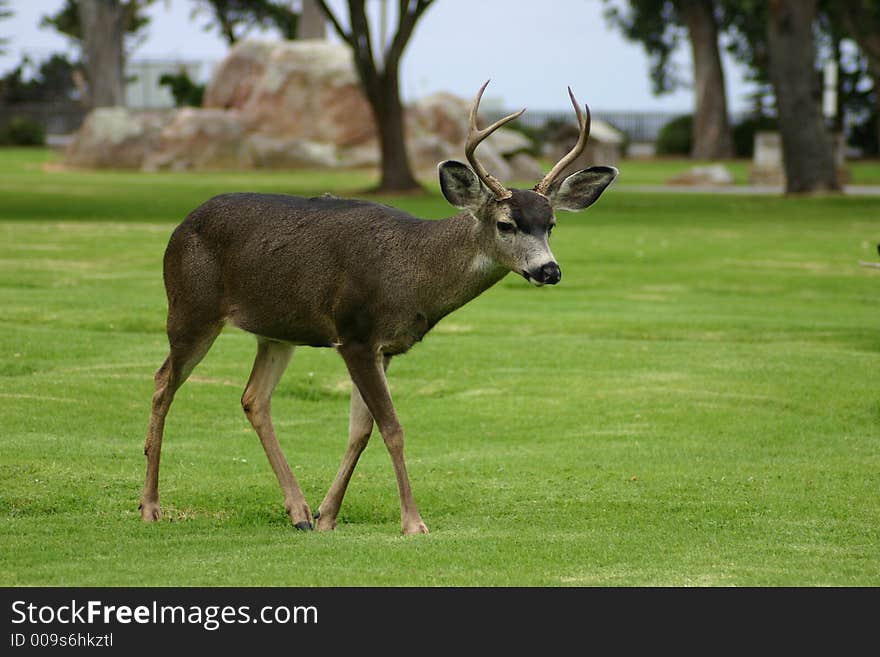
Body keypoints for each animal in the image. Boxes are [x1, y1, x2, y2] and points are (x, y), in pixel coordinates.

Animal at [139, 82, 620, 532]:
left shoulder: (384, 347)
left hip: (275, 329)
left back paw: (298, 512)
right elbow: (392, 429)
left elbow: (361, 430)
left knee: (253, 398)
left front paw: (327, 516)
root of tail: (181, 226)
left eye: (551, 225)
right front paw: (413, 522)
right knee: (164, 382)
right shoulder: (354, 333)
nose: (549, 270)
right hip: (190, 307)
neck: (413, 274)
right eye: (506, 224)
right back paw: (150, 506)